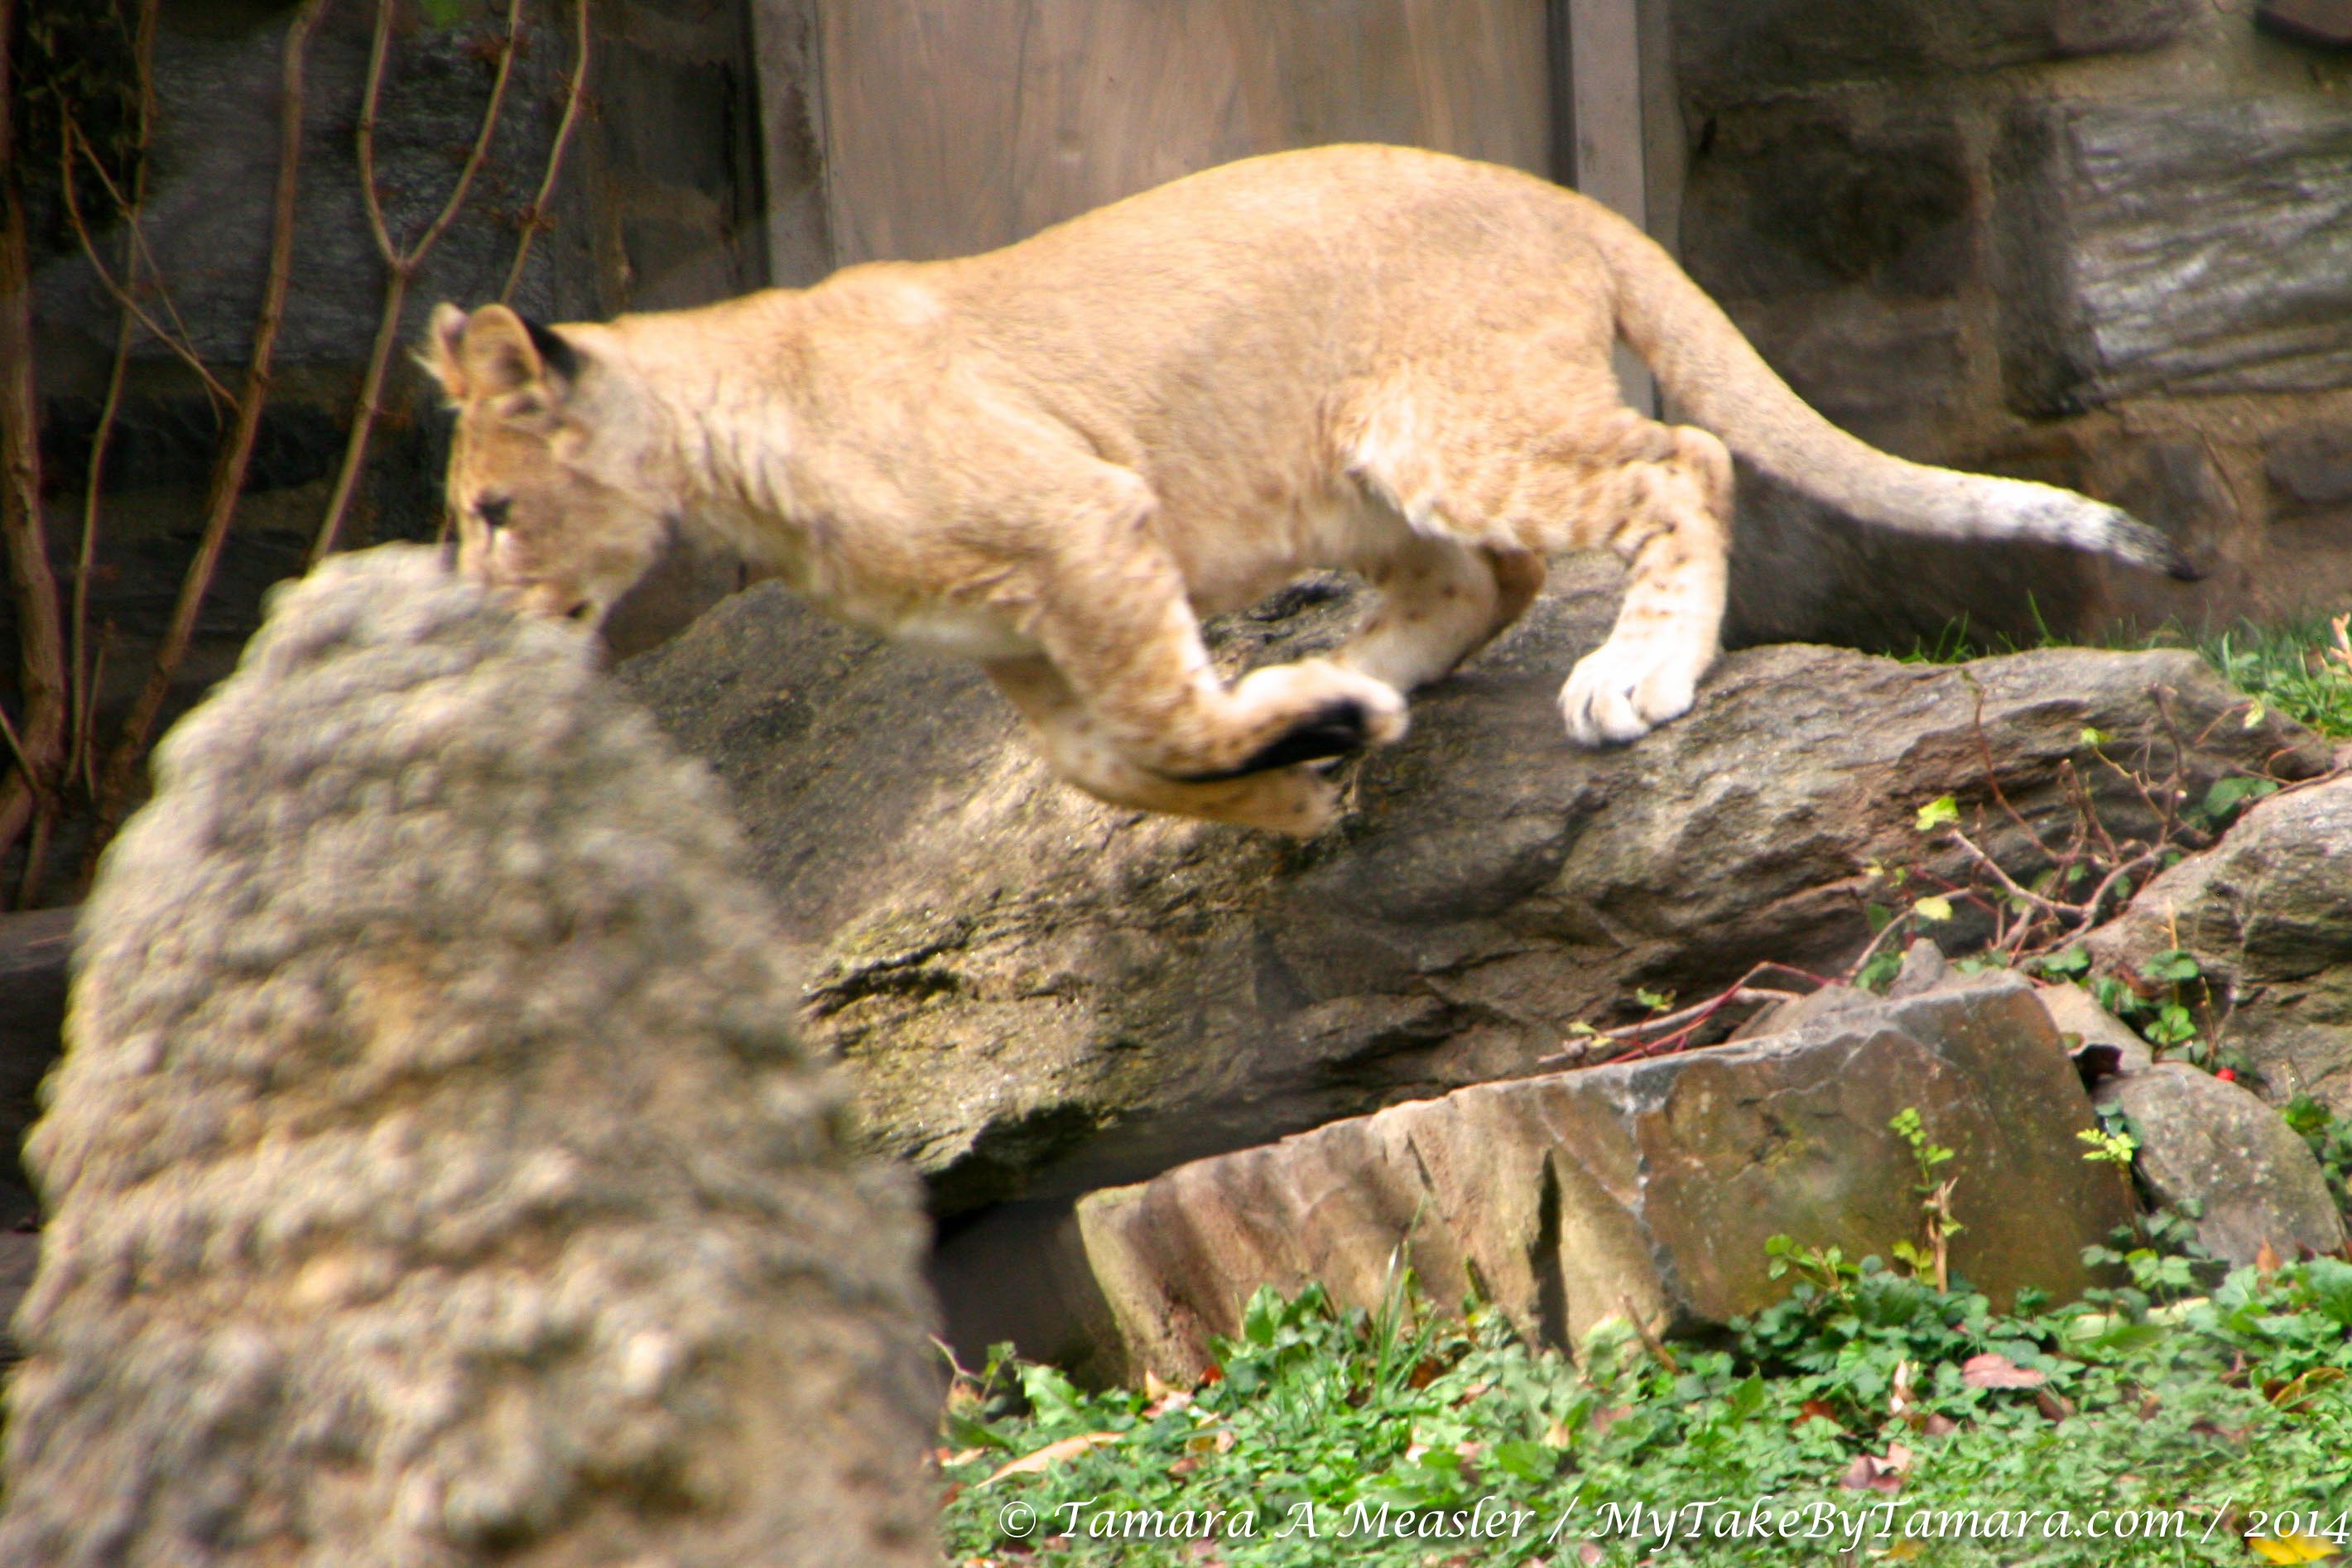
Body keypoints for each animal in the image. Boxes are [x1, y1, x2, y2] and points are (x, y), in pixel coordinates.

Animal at [427, 143, 2193, 835]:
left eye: (491, 512)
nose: (472, 611)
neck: (731, 445)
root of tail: (1547, 188)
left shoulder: (1086, 520)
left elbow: (1151, 718)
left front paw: (1282, 754)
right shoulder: (1013, 639)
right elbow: (1108, 760)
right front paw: (1289, 773)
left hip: (1444, 419)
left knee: (1672, 465)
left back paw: (1630, 676)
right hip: (1345, 473)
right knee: (1480, 580)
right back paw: (1346, 675)